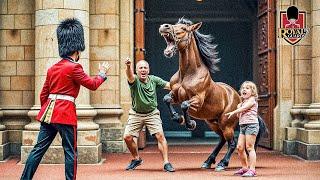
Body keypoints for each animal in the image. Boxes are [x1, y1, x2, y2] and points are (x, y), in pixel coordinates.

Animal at [159, 18, 266, 172]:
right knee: (222, 140)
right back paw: (208, 161)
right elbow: (166, 99)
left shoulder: (197, 100)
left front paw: (190, 124)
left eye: (184, 28)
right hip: (213, 123)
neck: (188, 74)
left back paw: (222, 163)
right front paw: (178, 118)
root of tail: (240, 98)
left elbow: (185, 105)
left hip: (226, 123)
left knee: (232, 143)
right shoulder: (175, 95)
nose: (164, 27)